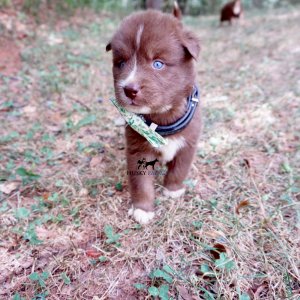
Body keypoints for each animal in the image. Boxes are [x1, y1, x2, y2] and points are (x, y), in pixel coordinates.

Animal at [106, 3, 200, 224]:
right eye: (121, 63)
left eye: (158, 63)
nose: (129, 89)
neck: (162, 117)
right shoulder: (137, 149)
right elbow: (141, 183)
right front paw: (143, 209)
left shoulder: (188, 143)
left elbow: (179, 169)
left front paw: (173, 190)